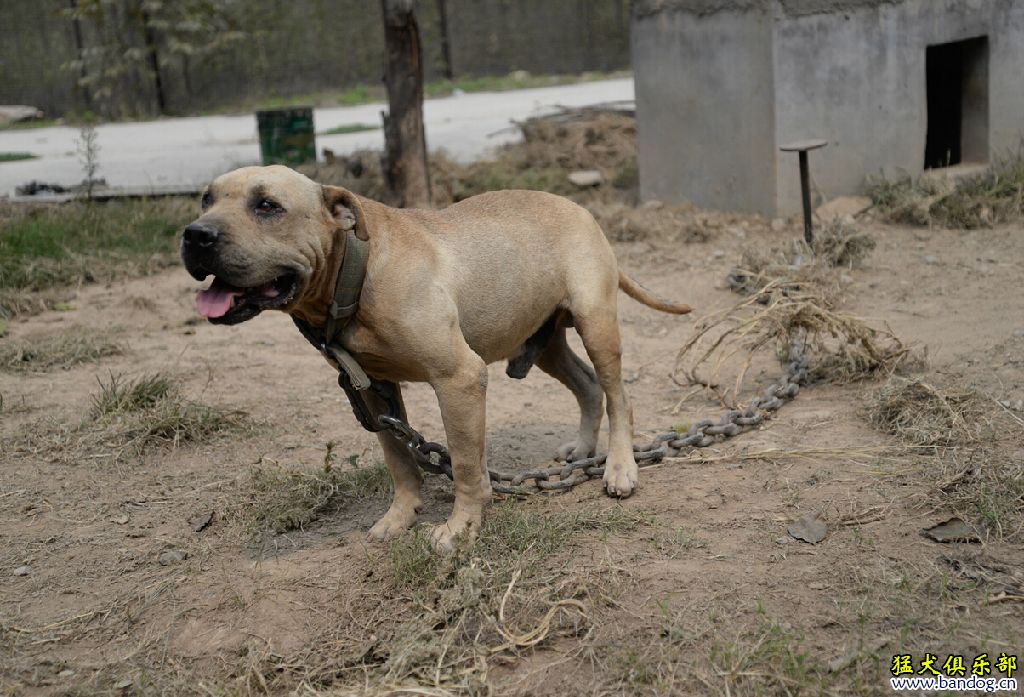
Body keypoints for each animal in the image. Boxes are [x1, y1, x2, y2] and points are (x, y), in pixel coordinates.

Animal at [182, 164, 696, 548]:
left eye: (266, 205)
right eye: (206, 199)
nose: (195, 235)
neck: (356, 271)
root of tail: (581, 209)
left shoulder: (458, 378)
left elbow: (466, 464)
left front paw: (460, 528)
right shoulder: (373, 392)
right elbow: (400, 460)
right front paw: (400, 517)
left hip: (597, 323)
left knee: (617, 395)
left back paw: (619, 467)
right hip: (543, 340)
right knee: (588, 385)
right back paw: (584, 449)